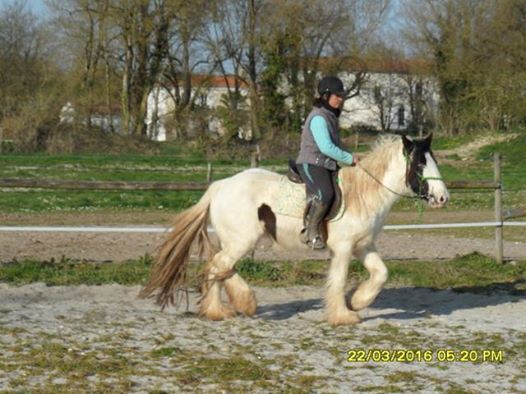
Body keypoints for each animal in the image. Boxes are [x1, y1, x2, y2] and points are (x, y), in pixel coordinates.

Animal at [139, 134, 450, 324]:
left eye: (434, 161)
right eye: (419, 165)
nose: (442, 197)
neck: (364, 193)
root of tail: (219, 186)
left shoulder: (364, 246)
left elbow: (381, 274)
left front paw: (358, 302)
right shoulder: (343, 249)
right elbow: (338, 281)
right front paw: (343, 315)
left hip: (234, 241)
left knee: (219, 268)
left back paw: (223, 308)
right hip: (242, 241)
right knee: (218, 266)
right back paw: (236, 305)